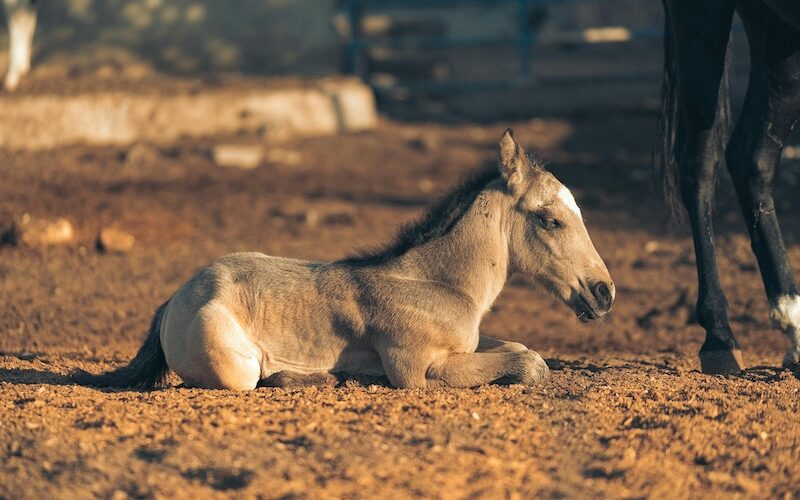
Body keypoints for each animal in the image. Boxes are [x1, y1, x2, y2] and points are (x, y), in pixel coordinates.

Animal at [73, 130, 615, 390]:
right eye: (551, 220)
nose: (604, 292)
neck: (436, 284)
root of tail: (174, 300)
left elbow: (521, 348)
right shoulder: (417, 370)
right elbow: (529, 362)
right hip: (234, 365)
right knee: (254, 378)